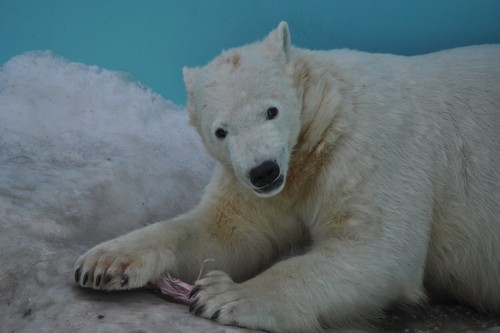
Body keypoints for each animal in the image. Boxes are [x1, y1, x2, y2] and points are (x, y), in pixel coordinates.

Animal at [75, 22, 500, 330]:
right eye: (221, 131)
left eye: (271, 111)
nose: (263, 171)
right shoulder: (260, 182)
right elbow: (224, 230)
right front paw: (103, 263)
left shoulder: (373, 146)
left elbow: (376, 247)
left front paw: (223, 295)